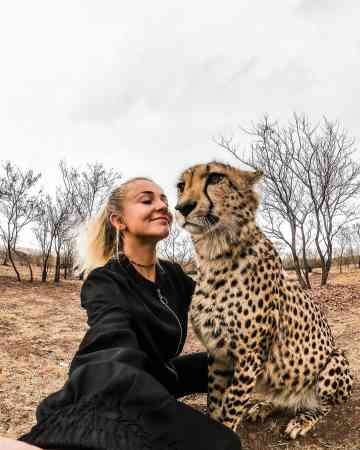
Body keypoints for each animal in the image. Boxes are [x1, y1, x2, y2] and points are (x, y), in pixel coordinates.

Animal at [174, 163, 352, 440]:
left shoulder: (250, 357)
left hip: (335, 360)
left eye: (215, 178)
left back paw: (302, 419)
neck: (215, 253)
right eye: (181, 186)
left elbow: (231, 406)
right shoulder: (219, 354)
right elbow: (215, 401)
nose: (182, 207)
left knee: (323, 406)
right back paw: (264, 407)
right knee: (285, 398)